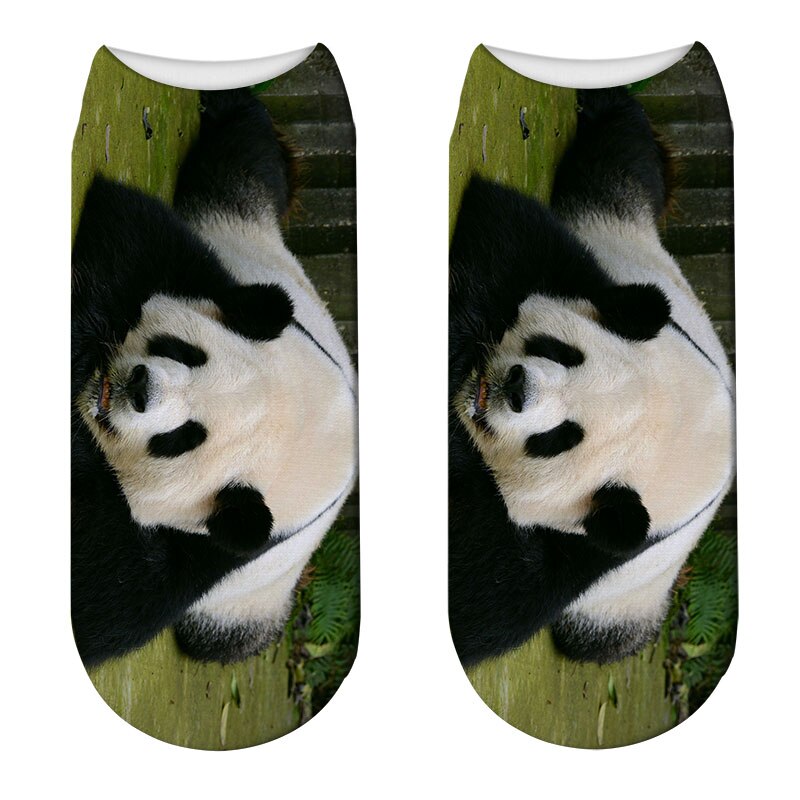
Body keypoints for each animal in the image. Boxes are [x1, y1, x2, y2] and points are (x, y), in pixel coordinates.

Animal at [72, 89, 358, 667]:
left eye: (180, 440)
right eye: (182, 351)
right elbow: (123, 233)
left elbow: (102, 594)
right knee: (246, 157)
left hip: (248, 609)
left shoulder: (207, 551)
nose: (138, 387)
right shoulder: (209, 276)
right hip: (247, 228)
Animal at [449, 87, 734, 666]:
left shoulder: (590, 550)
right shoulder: (585, 276)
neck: (698, 429)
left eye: (558, 440)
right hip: (624, 229)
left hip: (624, 609)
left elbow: (480, 597)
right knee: (623, 159)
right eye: (559, 351)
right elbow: (500, 232)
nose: (516, 387)